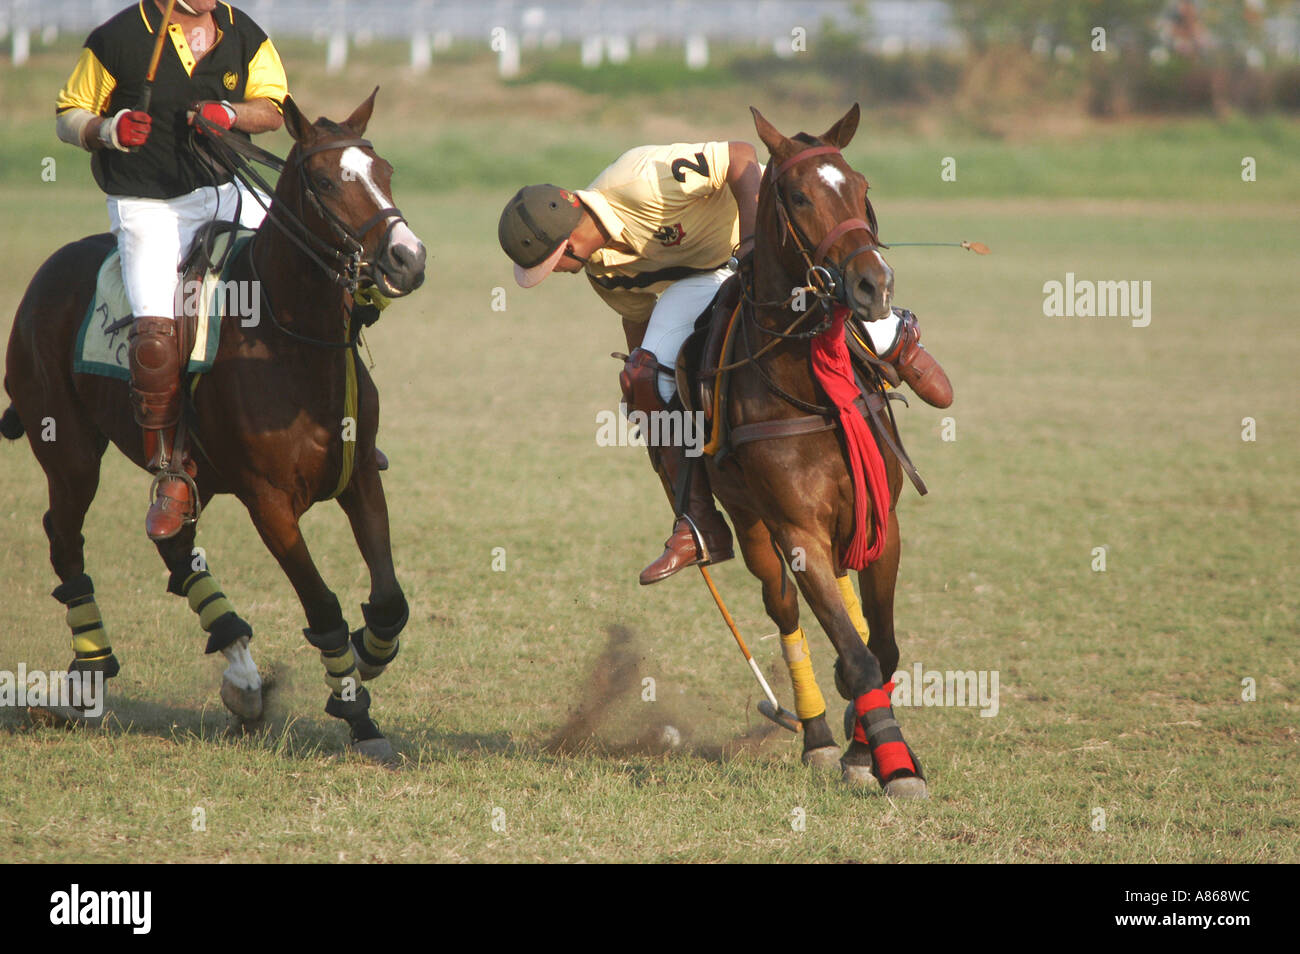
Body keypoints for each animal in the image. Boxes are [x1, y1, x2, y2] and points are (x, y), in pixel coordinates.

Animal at [1, 89, 426, 764]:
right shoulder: (269, 501)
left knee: (172, 538)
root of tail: (50, 269)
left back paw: (243, 678)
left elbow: (387, 600)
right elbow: (323, 605)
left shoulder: (359, 474)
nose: (407, 260)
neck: (291, 340)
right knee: (64, 537)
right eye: (326, 183)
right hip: (68, 450)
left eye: (384, 172)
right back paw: (90, 675)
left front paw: (367, 657)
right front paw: (357, 713)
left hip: (184, 472)